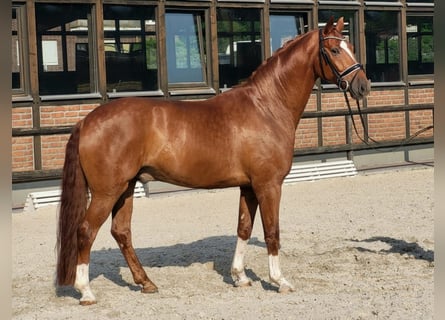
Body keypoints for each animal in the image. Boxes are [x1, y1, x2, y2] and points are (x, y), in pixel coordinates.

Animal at [55, 16, 370, 304]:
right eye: (334, 50)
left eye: (352, 47)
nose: (363, 86)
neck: (267, 106)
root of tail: (87, 121)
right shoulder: (269, 185)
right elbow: (272, 231)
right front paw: (279, 281)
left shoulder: (248, 186)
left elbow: (244, 228)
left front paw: (240, 277)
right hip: (107, 191)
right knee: (86, 231)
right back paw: (86, 292)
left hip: (126, 188)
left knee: (121, 232)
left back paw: (146, 282)